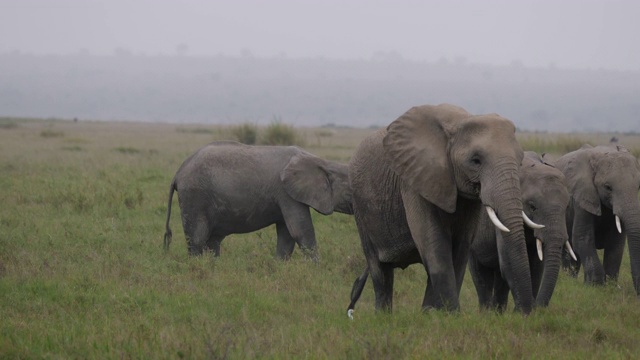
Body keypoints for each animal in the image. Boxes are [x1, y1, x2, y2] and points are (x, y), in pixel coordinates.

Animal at [162, 139, 352, 260]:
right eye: (351, 192)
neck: (323, 162)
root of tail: (178, 173)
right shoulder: (287, 193)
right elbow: (300, 231)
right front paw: (316, 270)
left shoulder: (285, 196)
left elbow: (286, 235)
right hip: (194, 196)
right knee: (197, 240)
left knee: (212, 242)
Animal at [344, 102, 536, 316]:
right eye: (475, 160)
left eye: (520, 161)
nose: (523, 313)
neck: (459, 121)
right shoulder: (415, 179)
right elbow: (434, 245)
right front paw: (452, 315)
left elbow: (460, 250)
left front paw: (435, 315)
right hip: (360, 207)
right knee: (379, 269)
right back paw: (384, 316)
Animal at [468, 150, 576, 310]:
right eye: (532, 206)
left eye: (567, 206)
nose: (539, 307)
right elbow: (508, 261)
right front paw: (523, 311)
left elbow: (536, 266)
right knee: (481, 274)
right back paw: (488, 311)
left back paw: (498, 311)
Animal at [556, 143, 640, 292]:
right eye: (608, 187)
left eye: (638, 187)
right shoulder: (582, 196)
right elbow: (582, 238)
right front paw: (596, 287)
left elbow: (616, 243)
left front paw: (610, 287)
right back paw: (569, 280)